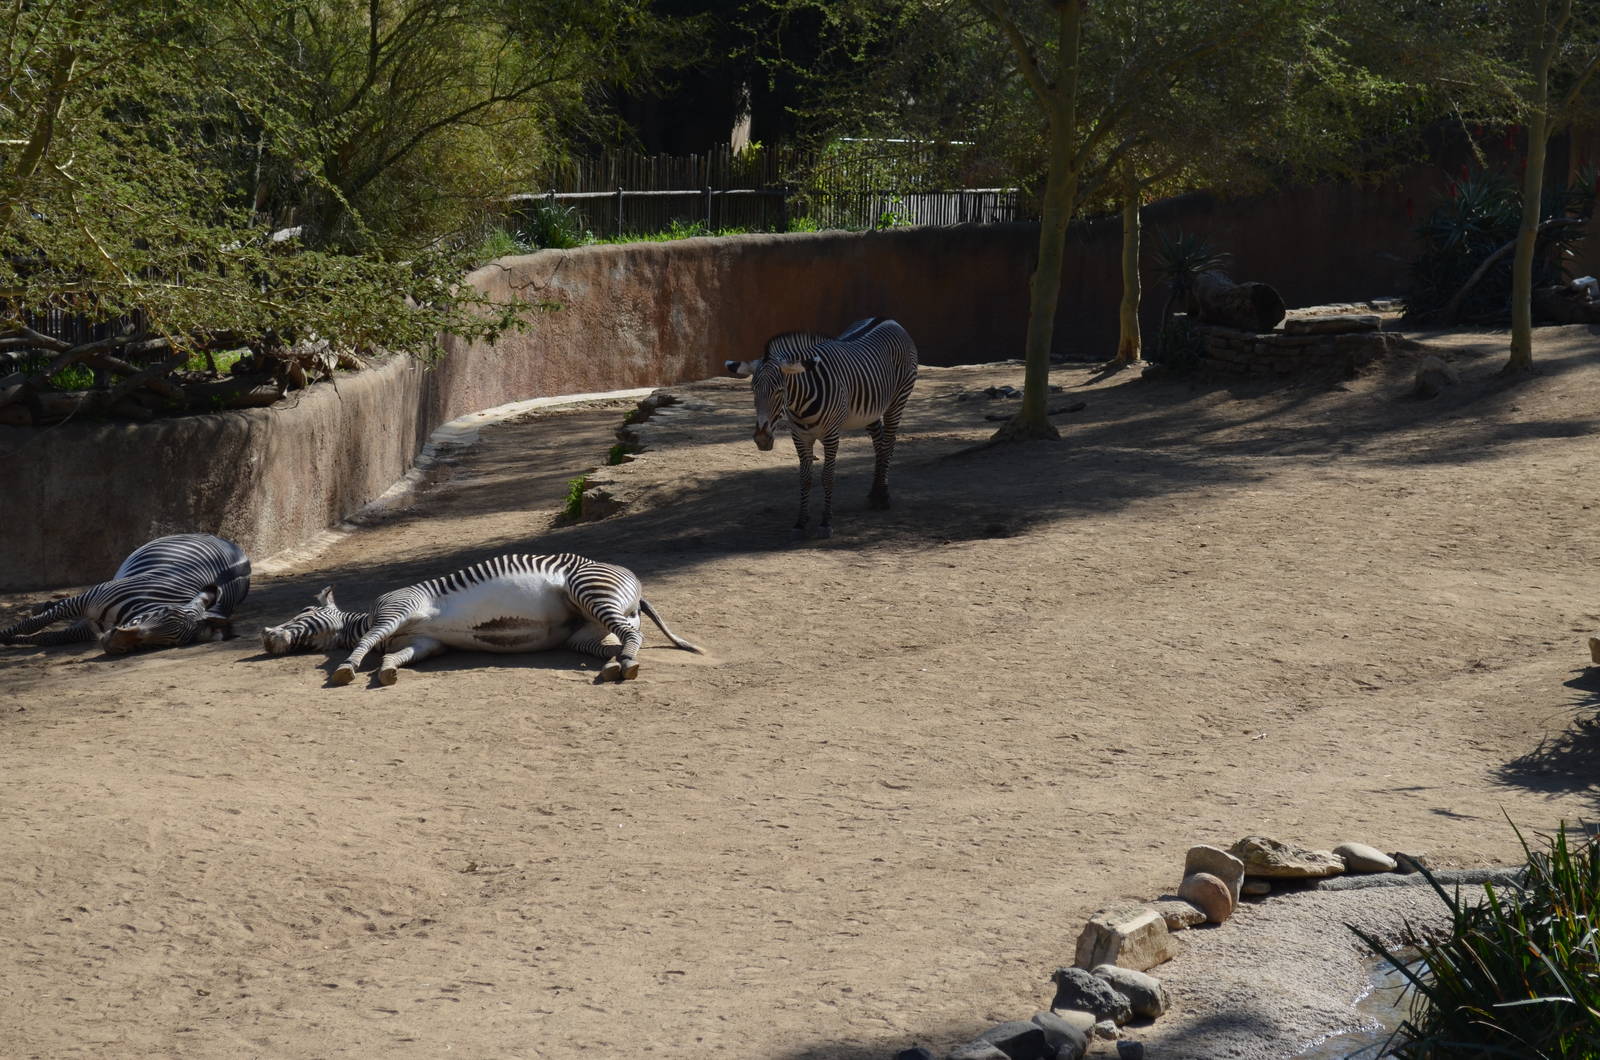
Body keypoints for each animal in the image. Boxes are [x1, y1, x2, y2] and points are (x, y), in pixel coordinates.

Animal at [0, 533, 251, 654]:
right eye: (162, 613)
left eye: (165, 643)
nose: (113, 642)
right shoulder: (86, 599)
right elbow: (32, 624)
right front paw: (6, 635)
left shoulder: (90, 628)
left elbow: (49, 637)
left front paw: (15, 640)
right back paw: (38, 606)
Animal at [260, 552, 702, 685]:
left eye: (304, 611)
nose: (265, 635)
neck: (364, 617)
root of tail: (634, 585)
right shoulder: (423, 643)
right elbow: (394, 656)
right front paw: (386, 670)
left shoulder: (397, 607)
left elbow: (366, 643)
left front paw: (348, 667)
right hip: (582, 631)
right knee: (613, 641)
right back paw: (614, 664)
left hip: (588, 589)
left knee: (630, 637)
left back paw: (625, 665)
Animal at [725, 317, 918, 538]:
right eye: (753, 390)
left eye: (779, 391)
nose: (762, 439)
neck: (800, 404)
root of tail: (889, 320)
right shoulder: (800, 436)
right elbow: (805, 478)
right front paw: (801, 522)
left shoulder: (831, 435)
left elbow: (827, 477)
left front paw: (826, 522)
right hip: (870, 410)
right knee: (878, 442)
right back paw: (874, 493)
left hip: (898, 399)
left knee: (889, 442)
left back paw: (884, 496)